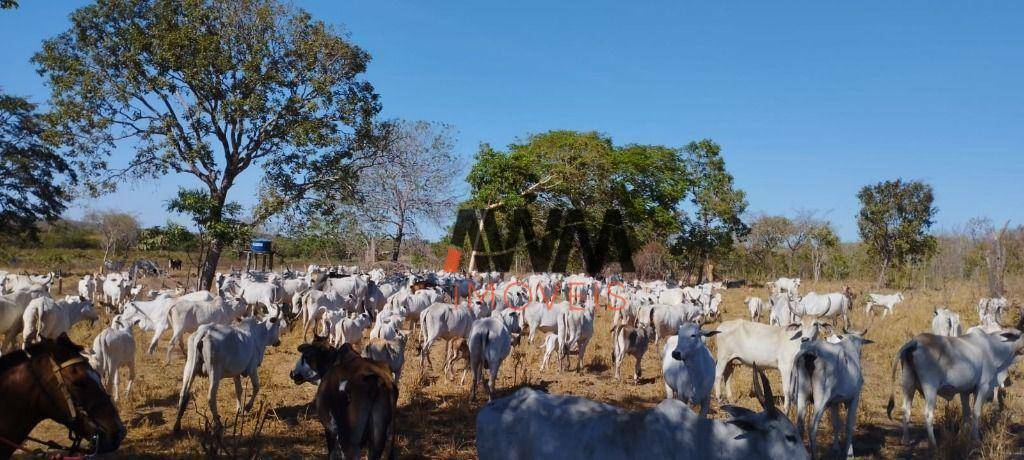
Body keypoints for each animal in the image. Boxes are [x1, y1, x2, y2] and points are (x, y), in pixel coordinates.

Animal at [888, 327, 1024, 446]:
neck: (993, 348)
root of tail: (915, 341)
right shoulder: (983, 387)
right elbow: (976, 412)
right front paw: (975, 438)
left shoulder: (965, 391)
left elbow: (966, 413)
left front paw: (963, 436)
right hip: (930, 388)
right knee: (928, 414)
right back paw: (933, 444)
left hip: (908, 385)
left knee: (906, 410)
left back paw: (905, 440)